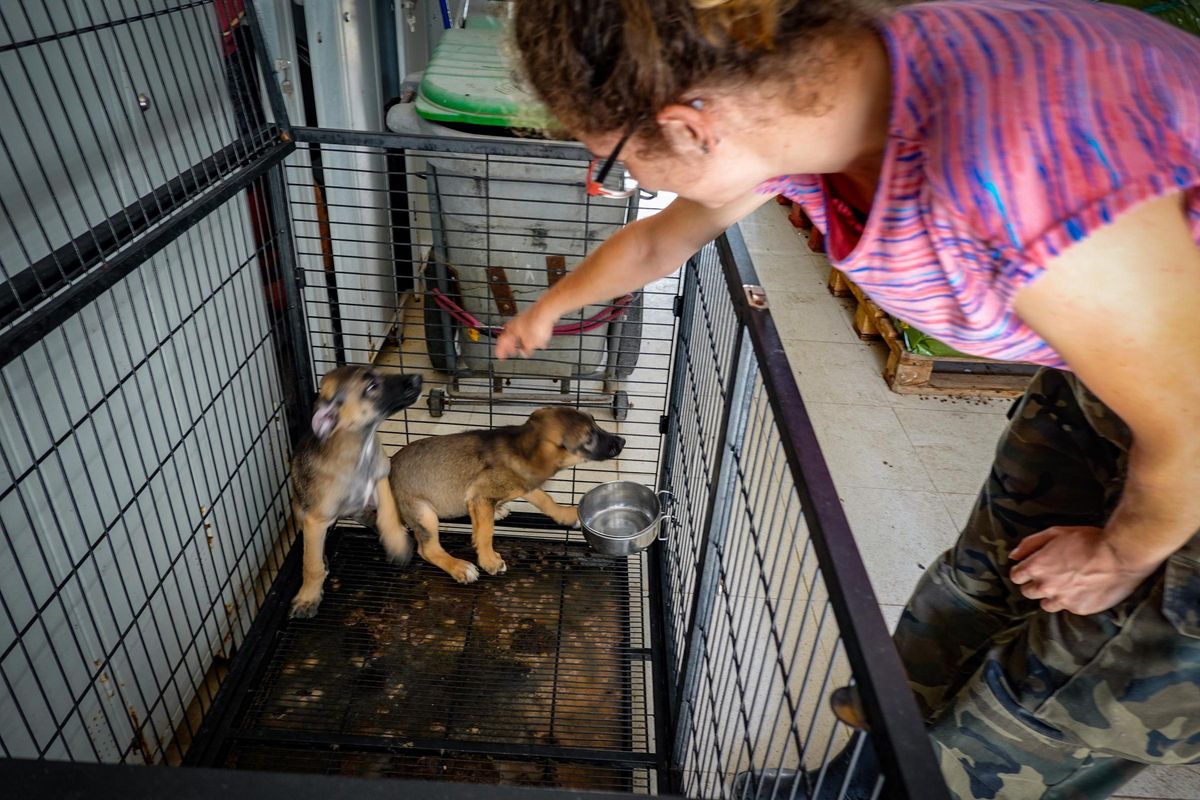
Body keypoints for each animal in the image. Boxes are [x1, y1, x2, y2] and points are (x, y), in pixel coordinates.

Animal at [286, 367, 422, 623]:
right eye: (371, 386)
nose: (418, 378)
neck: (360, 452)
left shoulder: (380, 476)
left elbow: (388, 515)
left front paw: (396, 542)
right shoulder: (315, 520)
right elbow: (311, 564)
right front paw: (307, 597)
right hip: (302, 511)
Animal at [386, 407, 628, 582]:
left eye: (595, 422)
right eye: (589, 438)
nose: (623, 441)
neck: (521, 445)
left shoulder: (525, 484)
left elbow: (546, 500)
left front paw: (566, 515)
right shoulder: (480, 495)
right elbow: (485, 533)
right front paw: (489, 561)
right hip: (423, 512)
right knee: (428, 549)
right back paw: (459, 567)